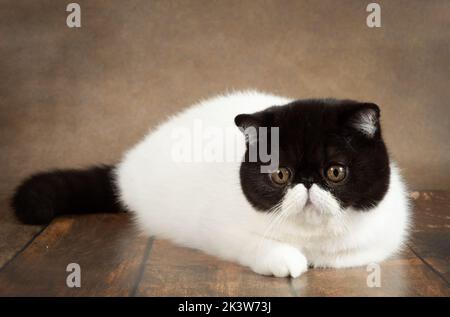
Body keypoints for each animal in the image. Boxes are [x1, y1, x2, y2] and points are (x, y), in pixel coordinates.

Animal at [12, 89, 412, 276]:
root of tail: (126, 166)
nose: (308, 184)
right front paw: (286, 258)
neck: (311, 240)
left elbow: (346, 252)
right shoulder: (218, 229)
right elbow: (257, 243)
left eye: (335, 172)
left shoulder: (381, 235)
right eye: (280, 174)